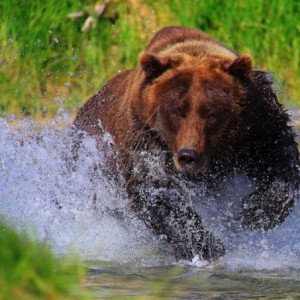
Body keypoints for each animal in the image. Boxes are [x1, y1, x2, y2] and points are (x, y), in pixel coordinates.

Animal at [73, 27, 300, 262]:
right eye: (177, 110)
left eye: (211, 113)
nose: (188, 156)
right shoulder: (144, 135)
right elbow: (153, 189)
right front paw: (206, 245)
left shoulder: (257, 123)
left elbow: (278, 158)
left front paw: (254, 212)